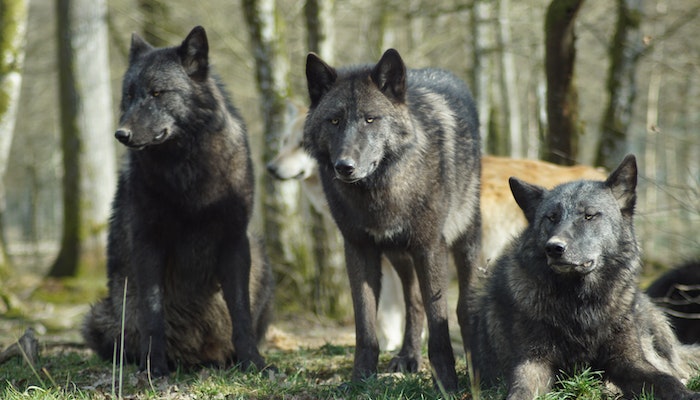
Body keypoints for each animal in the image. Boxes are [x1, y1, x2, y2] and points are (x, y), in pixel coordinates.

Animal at [82, 26, 274, 376]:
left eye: (157, 93)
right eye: (129, 95)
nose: (121, 134)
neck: (186, 169)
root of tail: (196, 358)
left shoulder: (235, 241)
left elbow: (240, 313)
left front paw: (253, 362)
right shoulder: (148, 242)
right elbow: (152, 313)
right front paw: (154, 367)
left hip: (261, 257)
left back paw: (228, 359)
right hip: (99, 317)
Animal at [304, 47, 482, 390]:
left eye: (370, 119)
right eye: (334, 120)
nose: (344, 166)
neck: (380, 193)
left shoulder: (430, 248)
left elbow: (439, 321)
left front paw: (447, 383)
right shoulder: (358, 249)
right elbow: (365, 325)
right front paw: (360, 379)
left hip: (464, 242)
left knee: (463, 305)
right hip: (399, 255)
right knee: (413, 303)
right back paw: (408, 356)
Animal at [468, 155, 700, 398]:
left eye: (589, 216)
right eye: (551, 218)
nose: (554, 248)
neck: (580, 305)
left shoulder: (629, 361)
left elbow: (666, 380)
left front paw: (688, 393)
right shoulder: (533, 363)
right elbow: (520, 391)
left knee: (674, 367)